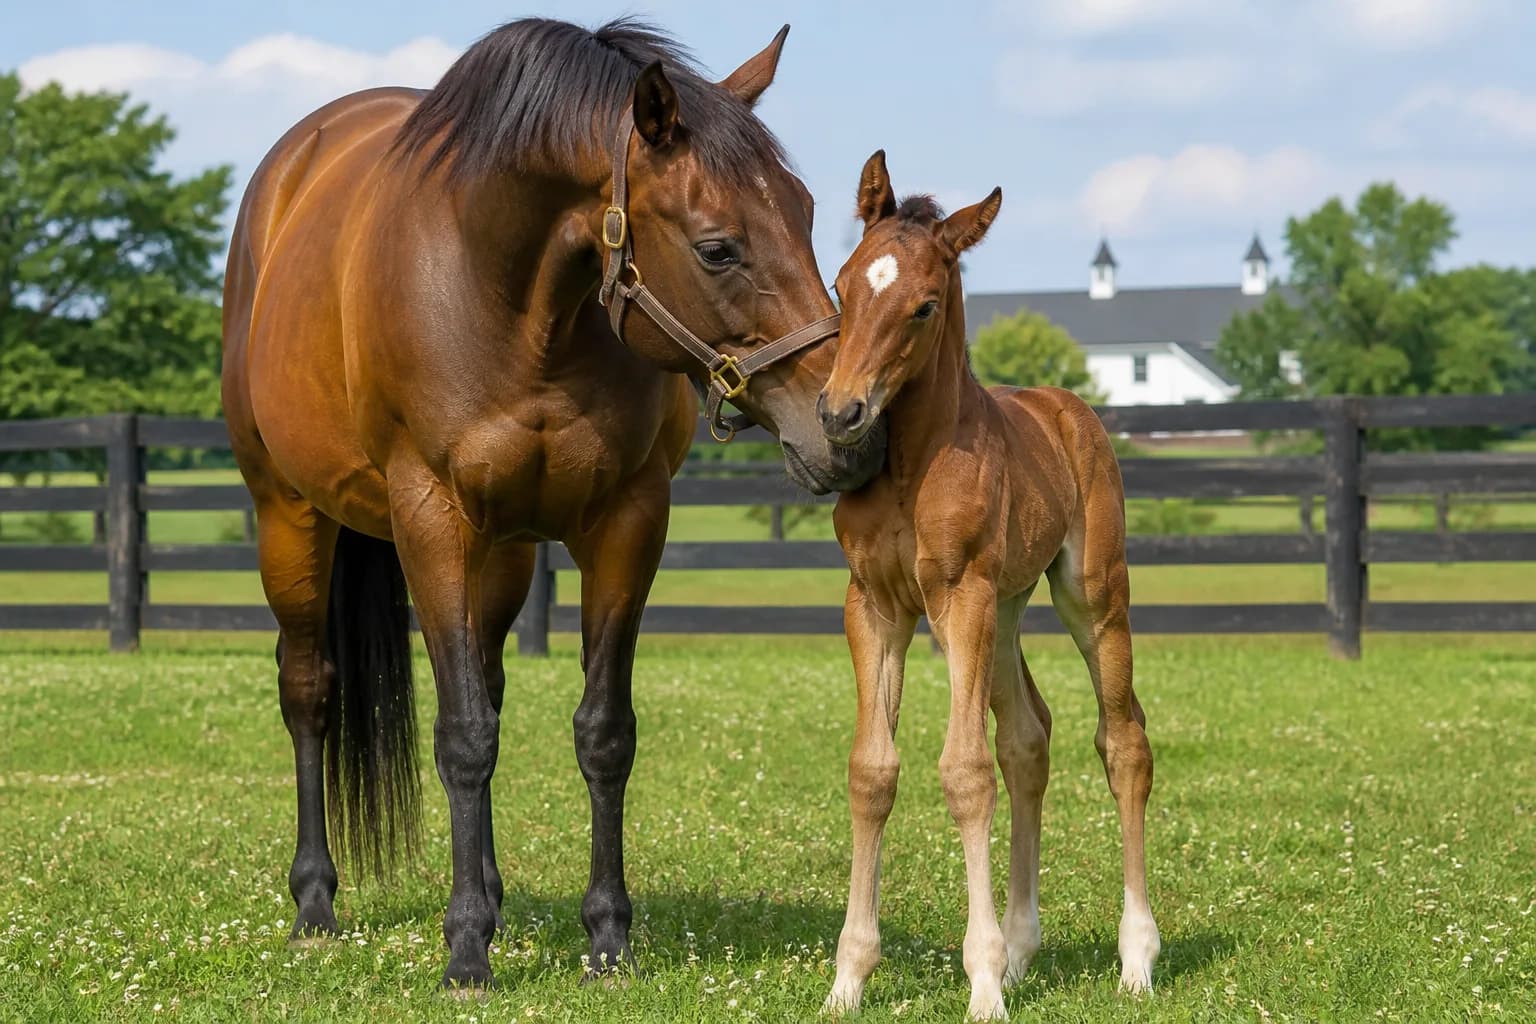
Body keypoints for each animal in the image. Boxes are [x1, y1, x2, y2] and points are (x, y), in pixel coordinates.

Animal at [221, 18, 885, 992]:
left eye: (804, 213)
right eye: (718, 247)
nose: (845, 424)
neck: (508, 300)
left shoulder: (627, 521)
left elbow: (599, 732)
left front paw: (607, 938)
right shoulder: (430, 518)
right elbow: (461, 735)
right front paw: (464, 951)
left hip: (502, 550)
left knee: (488, 684)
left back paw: (492, 897)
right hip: (289, 514)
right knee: (309, 691)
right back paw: (316, 904)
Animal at [814, 153, 1159, 1020]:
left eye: (925, 306)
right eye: (842, 283)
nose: (840, 412)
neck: (912, 464)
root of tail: (1067, 407)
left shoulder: (958, 595)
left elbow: (964, 773)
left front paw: (981, 986)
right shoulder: (876, 604)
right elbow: (873, 771)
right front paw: (848, 980)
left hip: (1087, 596)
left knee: (1123, 742)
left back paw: (1136, 958)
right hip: (1004, 612)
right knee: (1028, 738)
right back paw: (1024, 949)